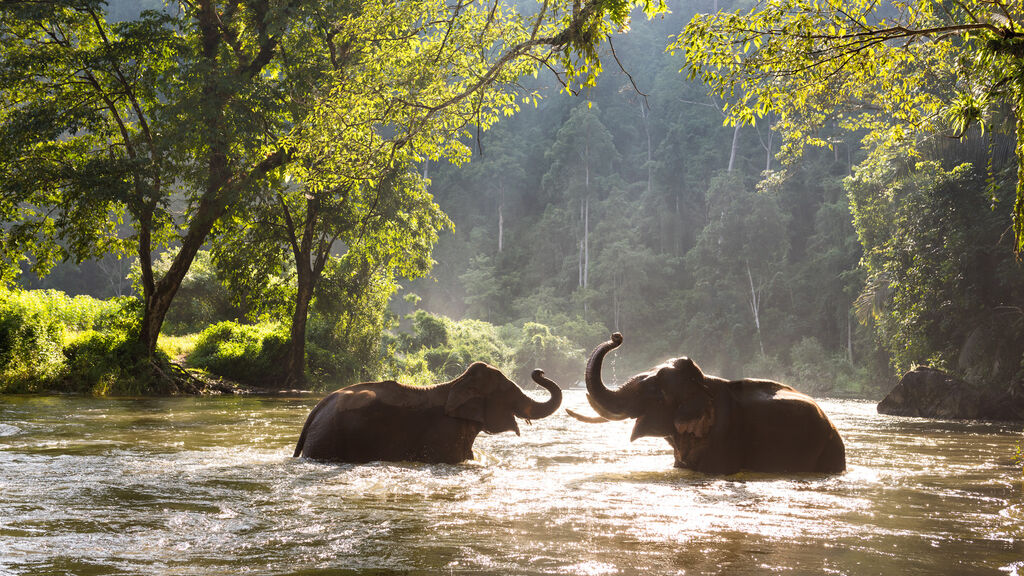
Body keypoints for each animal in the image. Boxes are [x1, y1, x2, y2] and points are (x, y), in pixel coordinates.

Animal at [292, 362, 565, 461]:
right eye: (508, 391)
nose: (539, 371)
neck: (456, 383)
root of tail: (317, 409)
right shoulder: (444, 434)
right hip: (328, 439)